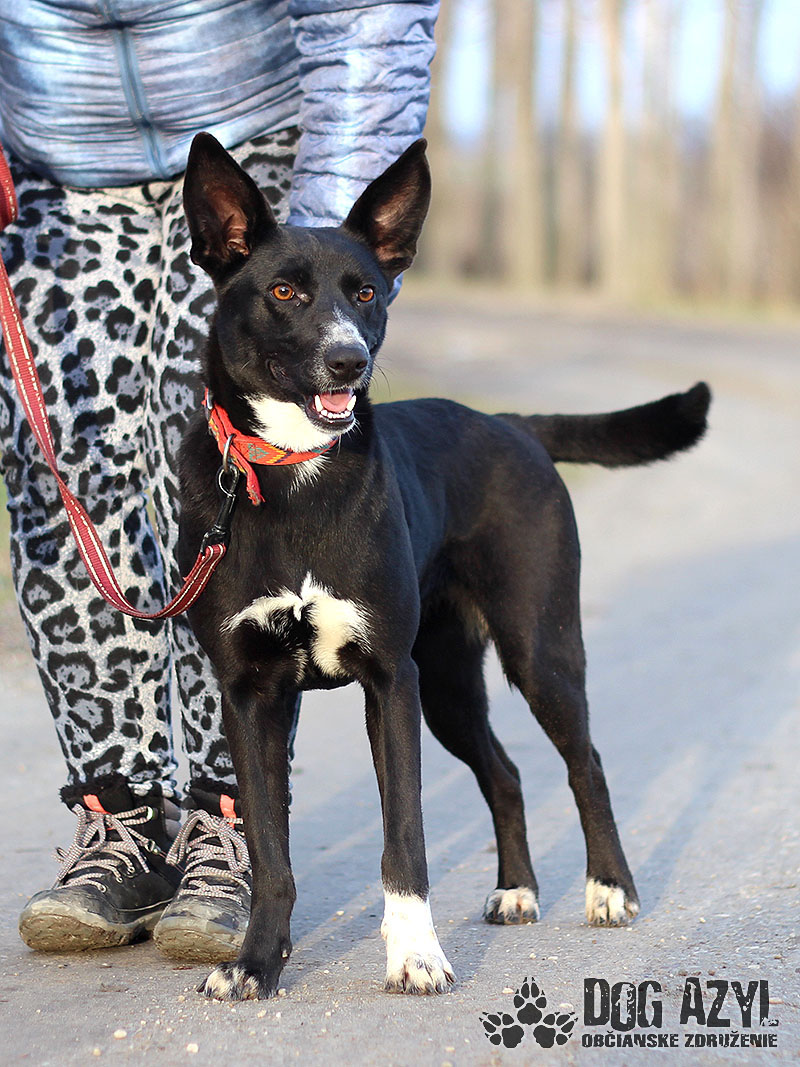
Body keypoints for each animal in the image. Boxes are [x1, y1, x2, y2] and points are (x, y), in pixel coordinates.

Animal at [178, 133, 710, 1001]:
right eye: (284, 290)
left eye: (365, 291)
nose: (348, 361)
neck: (292, 473)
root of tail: (511, 423)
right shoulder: (250, 695)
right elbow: (271, 853)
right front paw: (255, 962)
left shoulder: (389, 680)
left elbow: (405, 841)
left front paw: (415, 956)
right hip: (451, 684)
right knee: (506, 772)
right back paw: (517, 888)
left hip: (537, 649)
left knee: (585, 763)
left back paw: (609, 888)